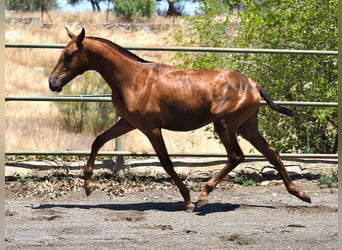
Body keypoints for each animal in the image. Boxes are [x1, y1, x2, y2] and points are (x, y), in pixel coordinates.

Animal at [49, 27, 312, 211]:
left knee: (236, 156)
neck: (133, 79)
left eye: (69, 54)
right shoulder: (128, 123)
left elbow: (166, 162)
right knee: (272, 154)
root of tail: (253, 84)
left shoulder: (151, 128)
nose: (52, 83)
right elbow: (97, 141)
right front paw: (88, 186)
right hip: (247, 127)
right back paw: (301, 194)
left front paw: (187, 200)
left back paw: (204, 195)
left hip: (224, 124)